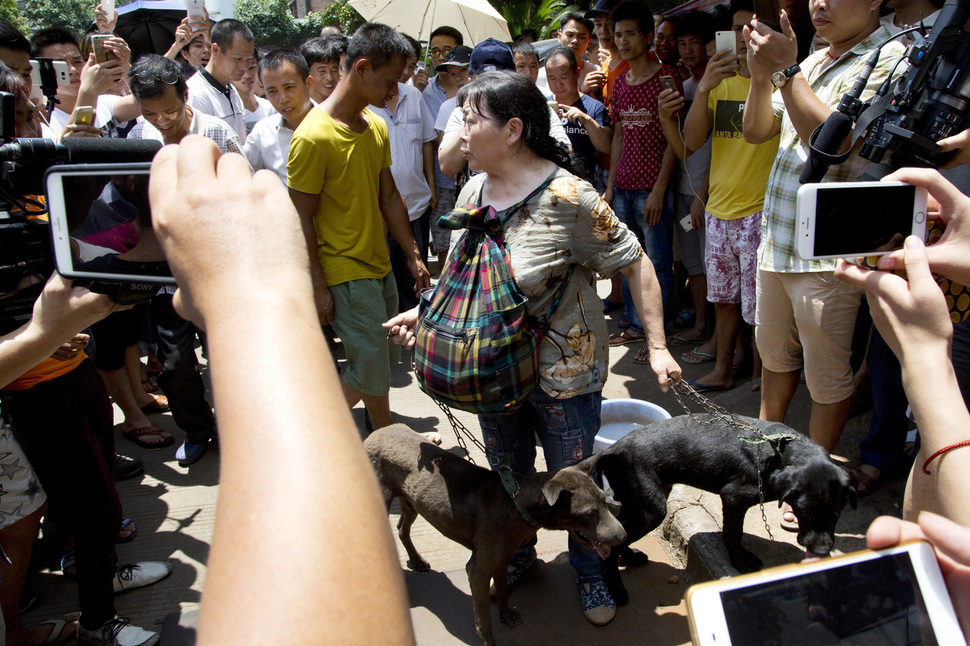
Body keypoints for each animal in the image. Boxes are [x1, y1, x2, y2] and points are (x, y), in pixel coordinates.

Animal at [364, 426, 628, 646]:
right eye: (589, 513)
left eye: (604, 499)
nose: (623, 535)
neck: (516, 503)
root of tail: (375, 433)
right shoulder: (478, 571)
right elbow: (484, 622)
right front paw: (490, 640)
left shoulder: (501, 560)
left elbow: (501, 590)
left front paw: (507, 615)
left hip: (411, 501)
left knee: (402, 528)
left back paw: (417, 561)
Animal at [580, 416, 852, 608]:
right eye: (805, 514)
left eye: (836, 515)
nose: (821, 551)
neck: (777, 454)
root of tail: (612, 450)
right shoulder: (734, 498)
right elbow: (733, 533)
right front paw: (741, 561)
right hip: (651, 509)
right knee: (614, 545)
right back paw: (617, 590)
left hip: (640, 502)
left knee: (620, 533)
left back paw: (630, 557)